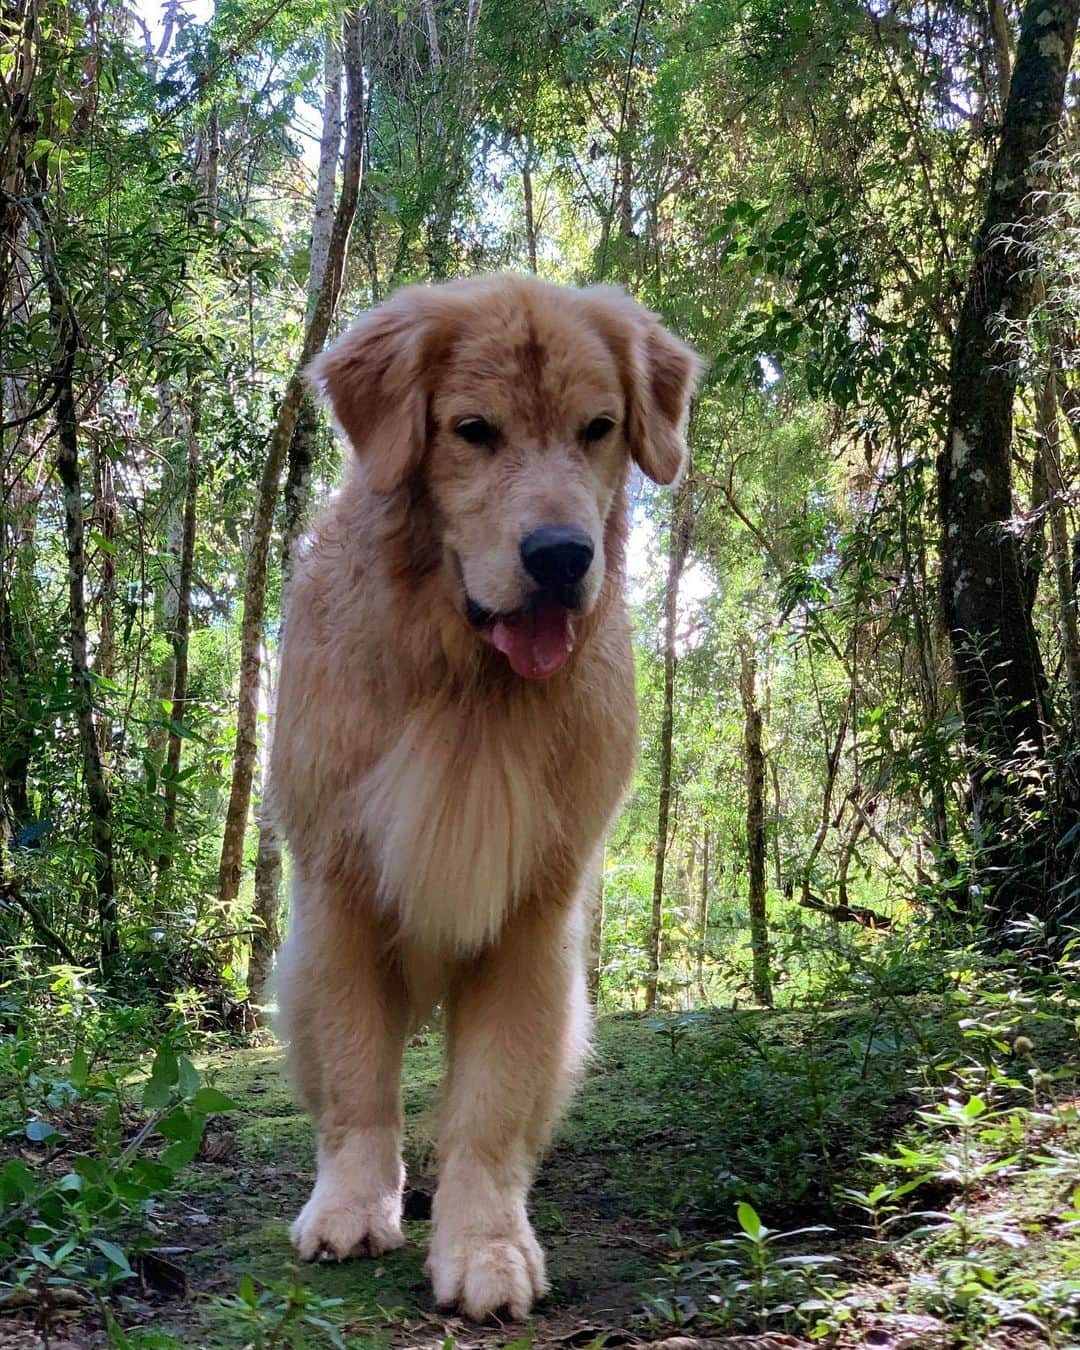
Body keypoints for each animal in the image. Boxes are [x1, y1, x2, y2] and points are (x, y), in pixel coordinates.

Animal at [272, 274, 702, 1317]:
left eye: (598, 427)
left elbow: (491, 1105)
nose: (560, 557)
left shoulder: (531, 914)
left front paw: (486, 1245)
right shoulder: (340, 889)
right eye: (473, 430)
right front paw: (352, 1206)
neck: (465, 681)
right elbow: (358, 1080)